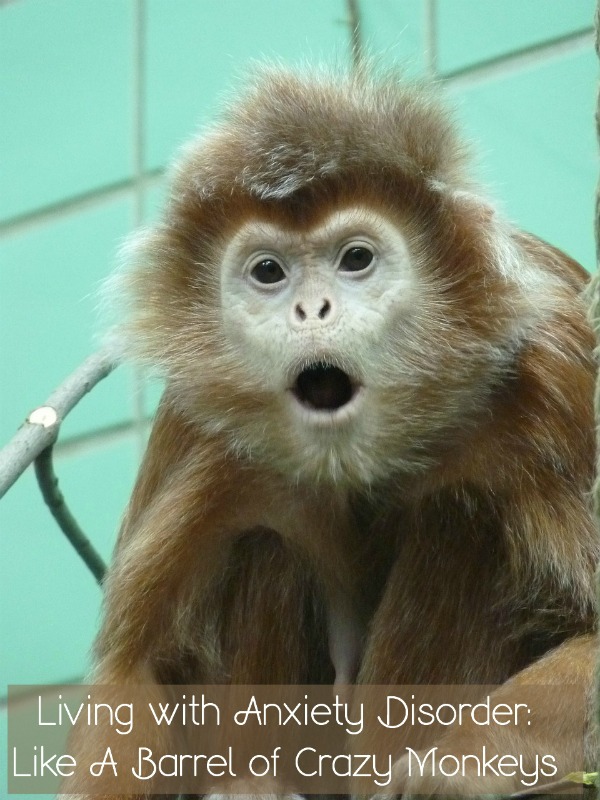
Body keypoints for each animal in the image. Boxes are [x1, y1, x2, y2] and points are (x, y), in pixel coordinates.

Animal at [61, 66, 598, 799]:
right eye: (268, 271)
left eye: (356, 260)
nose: (312, 309)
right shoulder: (197, 421)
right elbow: (137, 667)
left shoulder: (554, 378)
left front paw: (451, 769)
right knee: (265, 533)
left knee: (460, 511)